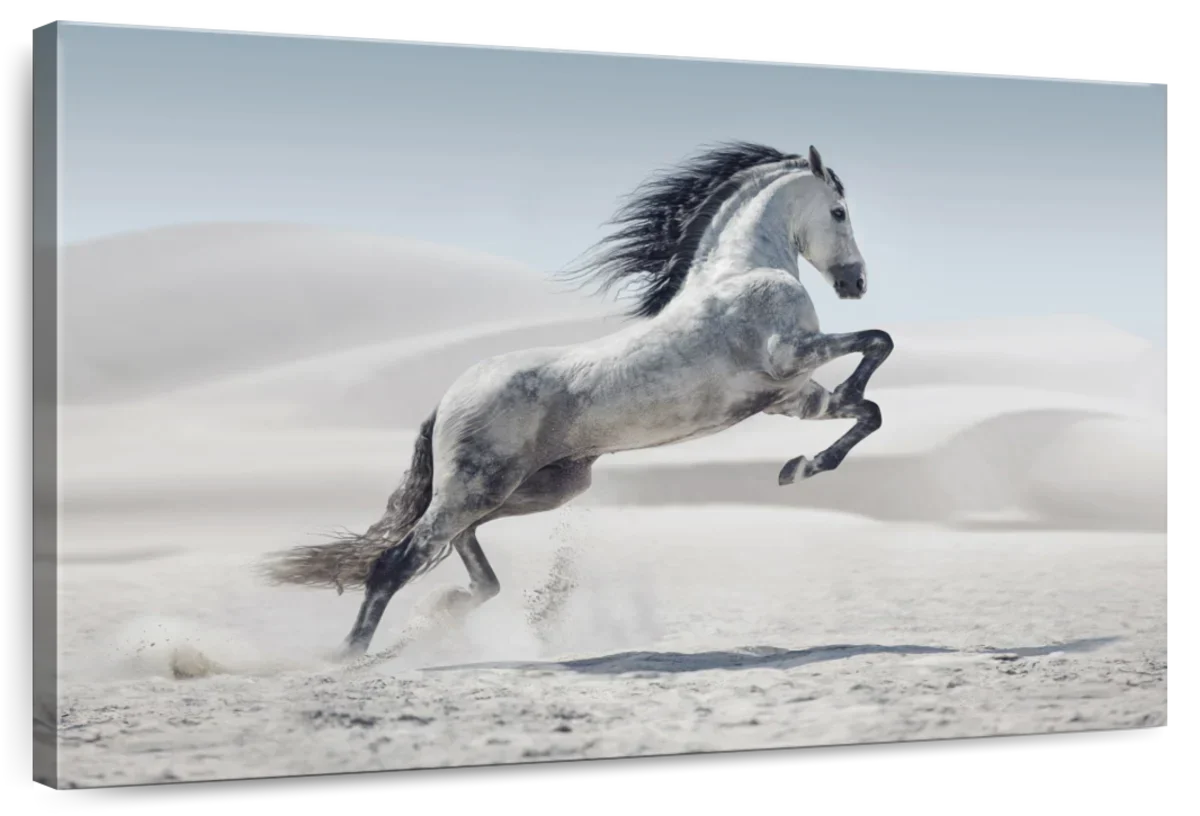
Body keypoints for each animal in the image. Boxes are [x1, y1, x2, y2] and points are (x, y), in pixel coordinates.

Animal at [260, 141, 894, 659]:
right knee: (396, 562)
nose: (856, 283)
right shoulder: (790, 356)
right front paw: (817, 442)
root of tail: (446, 400)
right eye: (839, 212)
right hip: (478, 487)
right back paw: (349, 656)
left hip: (539, 488)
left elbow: (867, 410)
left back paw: (441, 614)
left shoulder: (789, 396)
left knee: (462, 553)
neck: (743, 272)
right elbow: (878, 343)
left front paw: (799, 467)